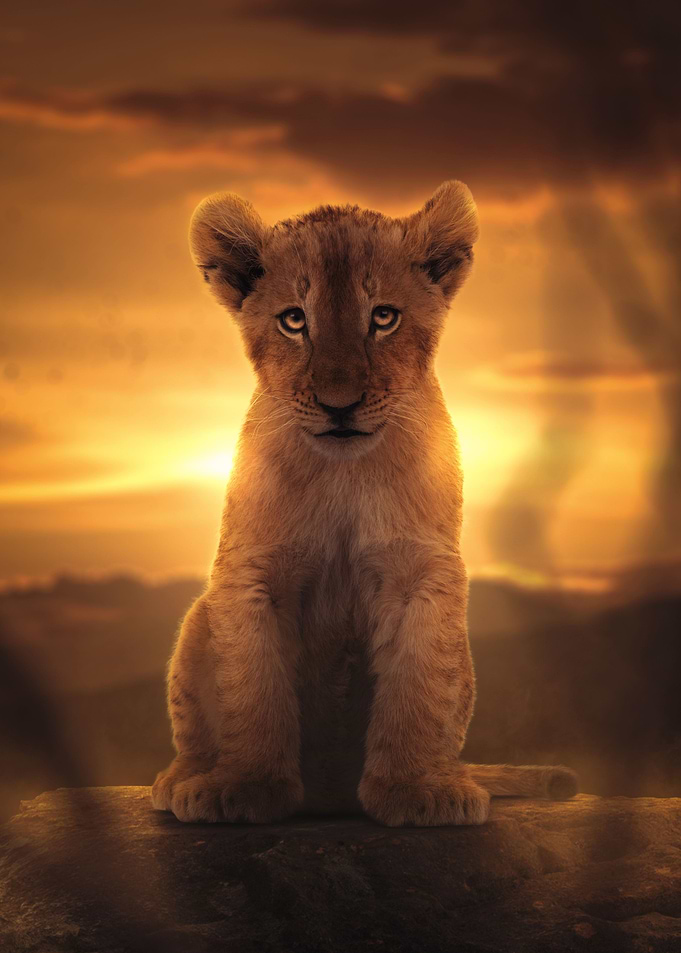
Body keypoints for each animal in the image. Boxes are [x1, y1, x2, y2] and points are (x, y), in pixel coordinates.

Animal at [151, 181, 578, 826]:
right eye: (294, 320)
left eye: (383, 317)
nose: (339, 404)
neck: (343, 478)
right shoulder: (252, 571)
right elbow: (251, 687)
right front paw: (247, 786)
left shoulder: (421, 570)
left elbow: (419, 688)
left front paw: (416, 788)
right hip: (198, 617)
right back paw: (182, 779)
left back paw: (454, 775)